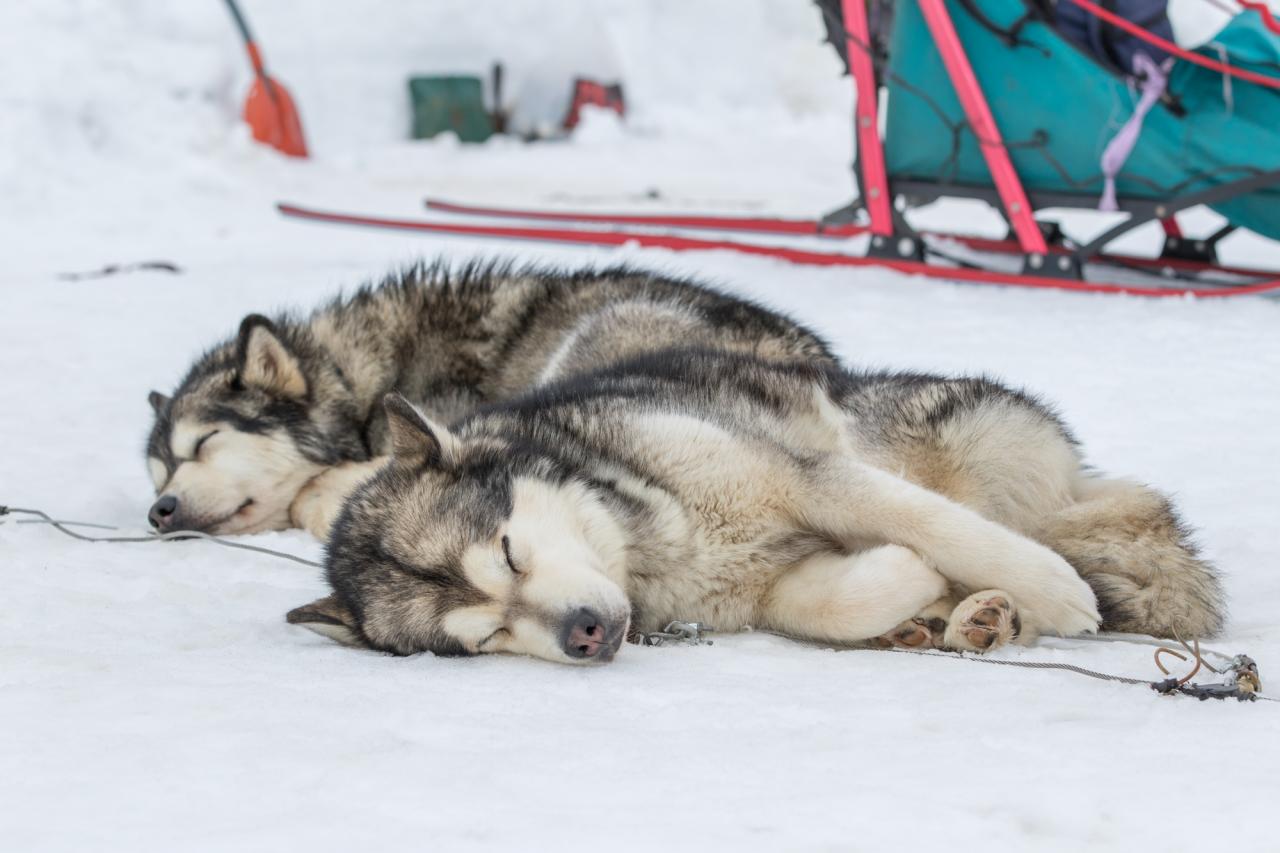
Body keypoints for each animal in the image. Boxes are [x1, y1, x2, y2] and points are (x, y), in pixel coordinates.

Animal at [145, 262, 834, 535]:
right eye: (158, 475)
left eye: (205, 441)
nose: (160, 510)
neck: (357, 379)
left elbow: (315, 491)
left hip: (593, 337)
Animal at [285, 345, 1223, 655]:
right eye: (486, 637)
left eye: (510, 551)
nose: (584, 633)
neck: (650, 535)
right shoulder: (767, 584)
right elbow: (839, 599)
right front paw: (911, 587)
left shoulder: (807, 474)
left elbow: (935, 524)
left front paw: (1050, 587)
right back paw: (966, 618)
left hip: (946, 434)